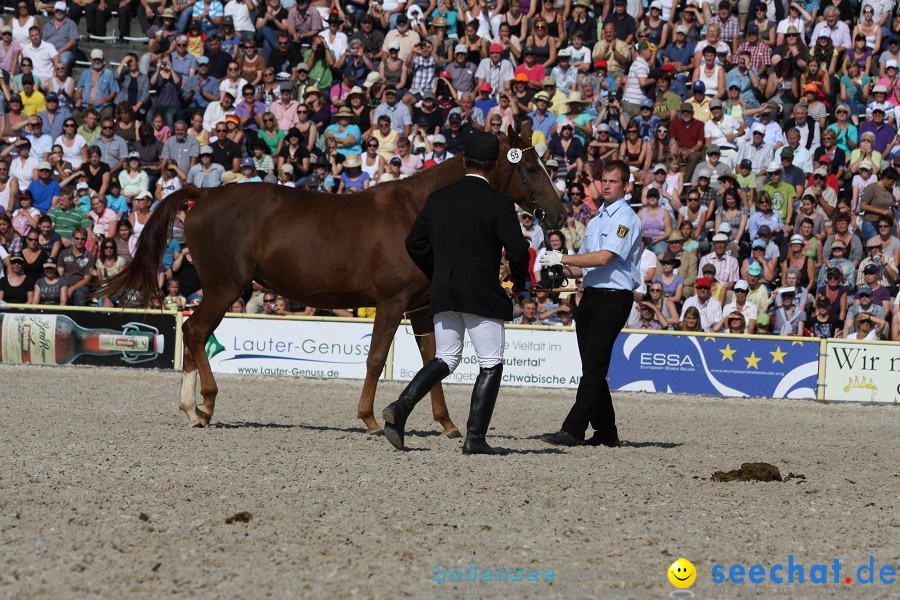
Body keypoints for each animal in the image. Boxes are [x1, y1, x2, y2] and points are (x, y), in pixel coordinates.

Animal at [98, 125, 564, 436]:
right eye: (532, 169)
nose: (560, 215)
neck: (415, 212)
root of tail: (205, 193)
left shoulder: (420, 308)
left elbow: (434, 360)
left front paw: (446, 424)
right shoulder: (392, 303)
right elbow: (376, 358)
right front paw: (371, 419)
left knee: (194, 334)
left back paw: (193, 410)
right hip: (224, 288)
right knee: (195, 332)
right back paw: (205, 406)